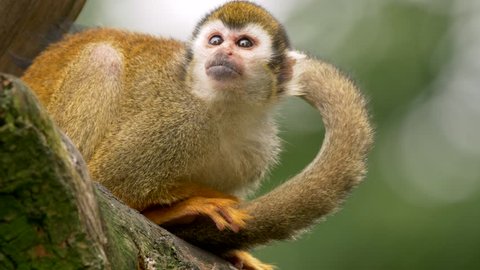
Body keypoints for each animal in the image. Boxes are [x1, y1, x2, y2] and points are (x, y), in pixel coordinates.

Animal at [21, 1, 376, 268]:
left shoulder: (255, 150)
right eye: (216, 41)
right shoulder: (172, 123)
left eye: (244, 43)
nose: (224, 54)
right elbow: (107, 180)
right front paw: (187, 204)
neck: (220, 108)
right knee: (102, 59)